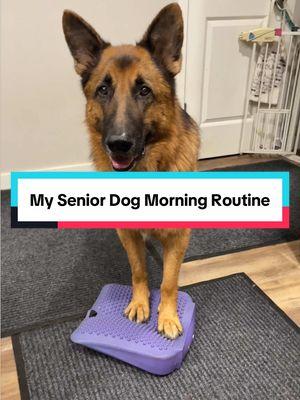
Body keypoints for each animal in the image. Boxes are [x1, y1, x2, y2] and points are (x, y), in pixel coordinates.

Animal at [63, 3, 199, 340]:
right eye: (103, 90)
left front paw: (167, 315)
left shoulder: (178, 238)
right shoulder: (128, 234)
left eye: (144, 91)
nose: (118, 144)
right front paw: (140, 302)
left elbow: (169, 280)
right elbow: (138, 269)